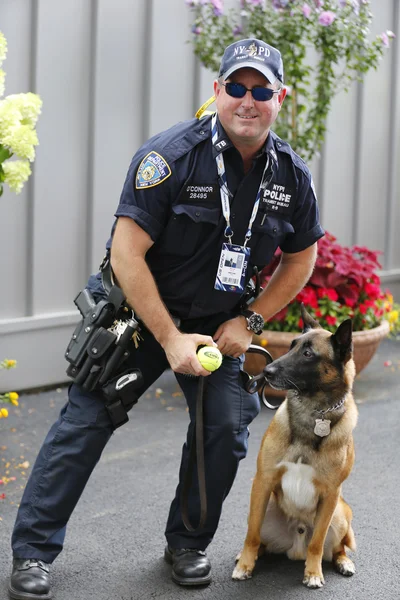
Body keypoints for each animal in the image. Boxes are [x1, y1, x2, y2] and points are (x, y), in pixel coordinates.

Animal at [233, 308, 358, 588]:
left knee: (336, 547)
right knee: (258, 538)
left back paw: (343, 562)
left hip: (339, 513)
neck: (313, 413)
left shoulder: (331, 494)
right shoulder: (263, 481)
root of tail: (295, 543)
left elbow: (317, 543)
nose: (266, 371)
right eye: (291, 346)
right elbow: (251, 535)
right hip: (265, 506)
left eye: (308, 354)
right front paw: (245, 565)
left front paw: (313, 573)